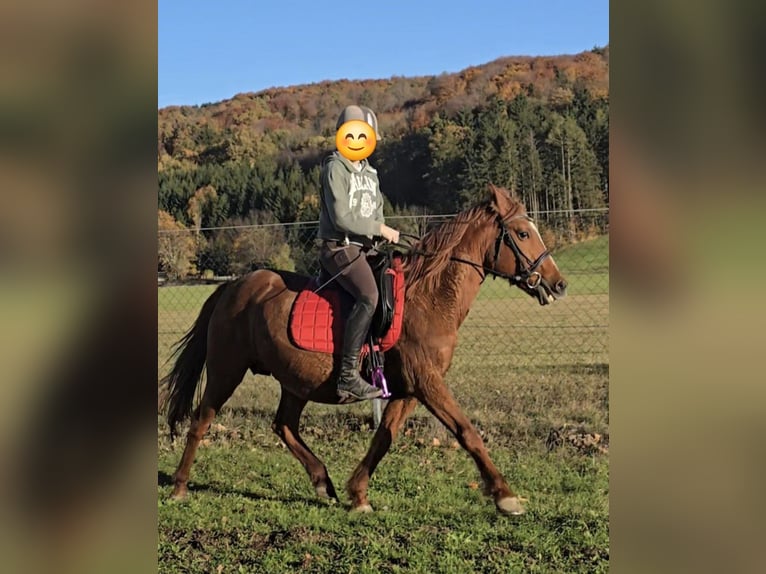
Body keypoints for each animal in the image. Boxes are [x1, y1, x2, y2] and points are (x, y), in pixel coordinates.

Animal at [160, 184, 568, 515]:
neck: (429, 297)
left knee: (284, 425)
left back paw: (322, 481)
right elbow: (467, 432)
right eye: (522, 233)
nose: (558, 283)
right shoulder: (428, 382)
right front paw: (505, 495)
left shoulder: (409, 389)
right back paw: (179, 487)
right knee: (201, 421)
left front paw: (357, 494)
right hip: (227, 369)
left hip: (296, 380)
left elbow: (384, 436)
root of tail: (233, 286)